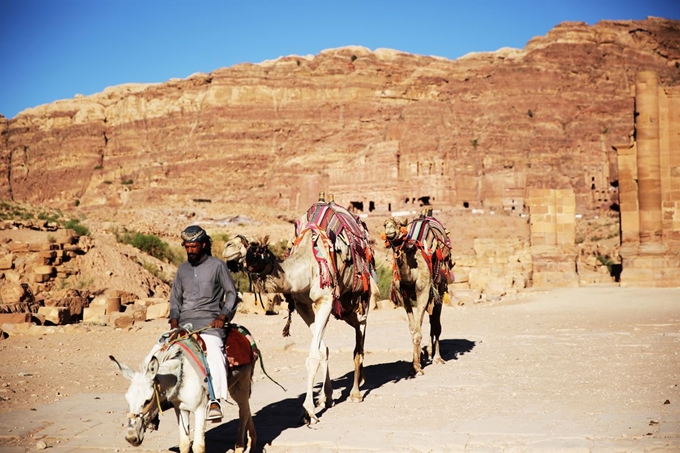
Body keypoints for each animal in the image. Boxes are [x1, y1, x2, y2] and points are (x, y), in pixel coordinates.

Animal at [380, 214, 454, 376]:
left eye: (398, 225)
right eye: (385, 224)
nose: (389, 231)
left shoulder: (424, 292)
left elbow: (418, 332)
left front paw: (418, 367)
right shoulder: (403, 296)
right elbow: (413, 329)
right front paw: (415, 364)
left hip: (439, 292)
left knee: (436, 325)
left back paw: (437, 357)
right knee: (431, 323)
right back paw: (429, 353)